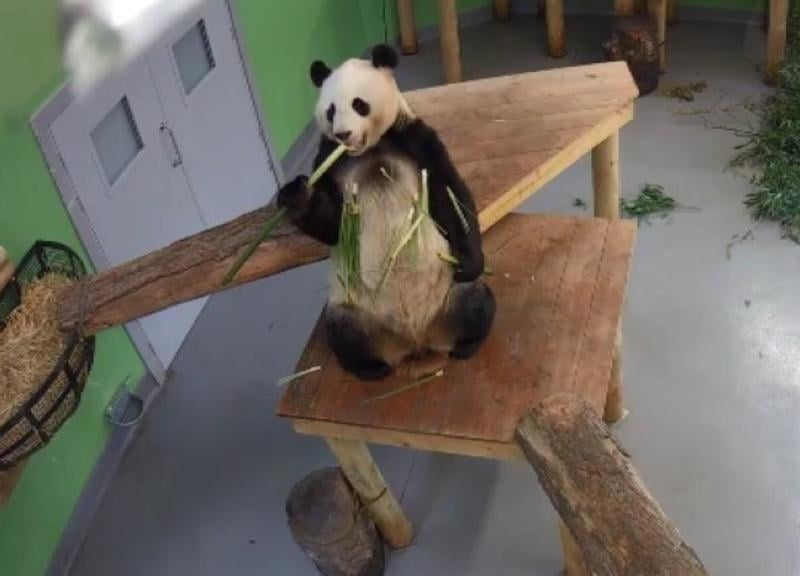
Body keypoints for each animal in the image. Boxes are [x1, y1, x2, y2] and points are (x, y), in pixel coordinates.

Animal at [278, 44, 495, 381]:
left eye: (359, 104)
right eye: (330, 110)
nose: (342, 134)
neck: (370, 149)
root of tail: (416, 342)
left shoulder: (415, 139)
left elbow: (449, 194)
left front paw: (469, 261)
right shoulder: (328, 160)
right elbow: (332, 226)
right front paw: (296, 195)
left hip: (447, 294)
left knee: (476, 302)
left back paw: (466, 344)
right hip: (355, 308)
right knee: (343, 331)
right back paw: (371, 368)